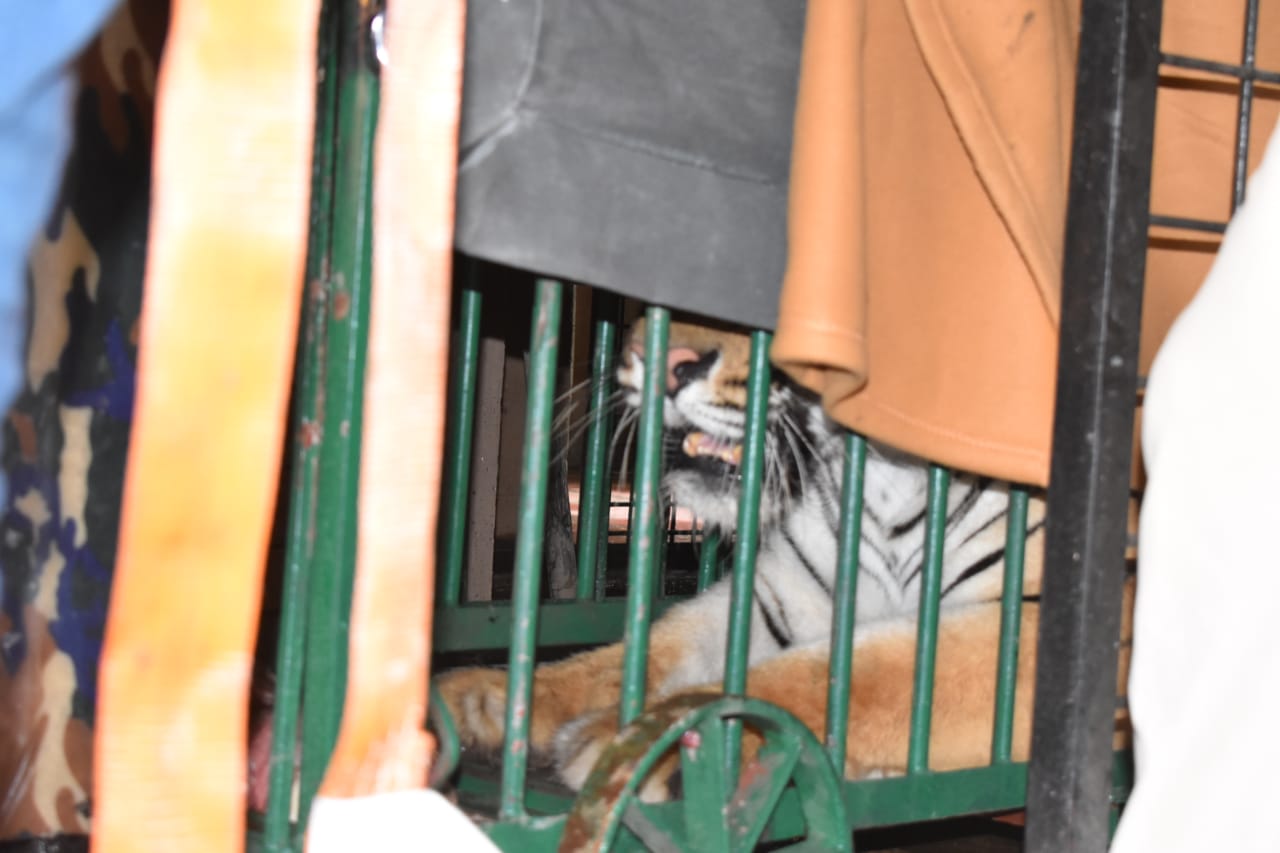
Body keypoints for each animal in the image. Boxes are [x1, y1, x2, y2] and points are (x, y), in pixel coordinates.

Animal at [437, 315, 1131, 799]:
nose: (648, 357)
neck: (885, 486)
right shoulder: (782, 596)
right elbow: (647, 647)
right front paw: (488, 697)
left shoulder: (1026, 632)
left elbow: (857, 674)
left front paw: (644, 744)